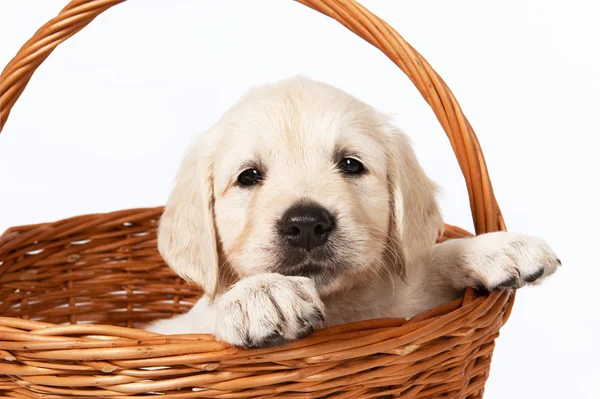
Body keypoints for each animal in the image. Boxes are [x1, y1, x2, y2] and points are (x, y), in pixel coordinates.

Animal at [148, 76, 560, 348]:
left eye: (350, 164)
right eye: (248, 176)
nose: (306, 224)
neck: (337, 307)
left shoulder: (404, 303)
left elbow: (428, 262)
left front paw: (496, 248)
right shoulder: (179, 330)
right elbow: (205, 312)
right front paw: (260, 293)